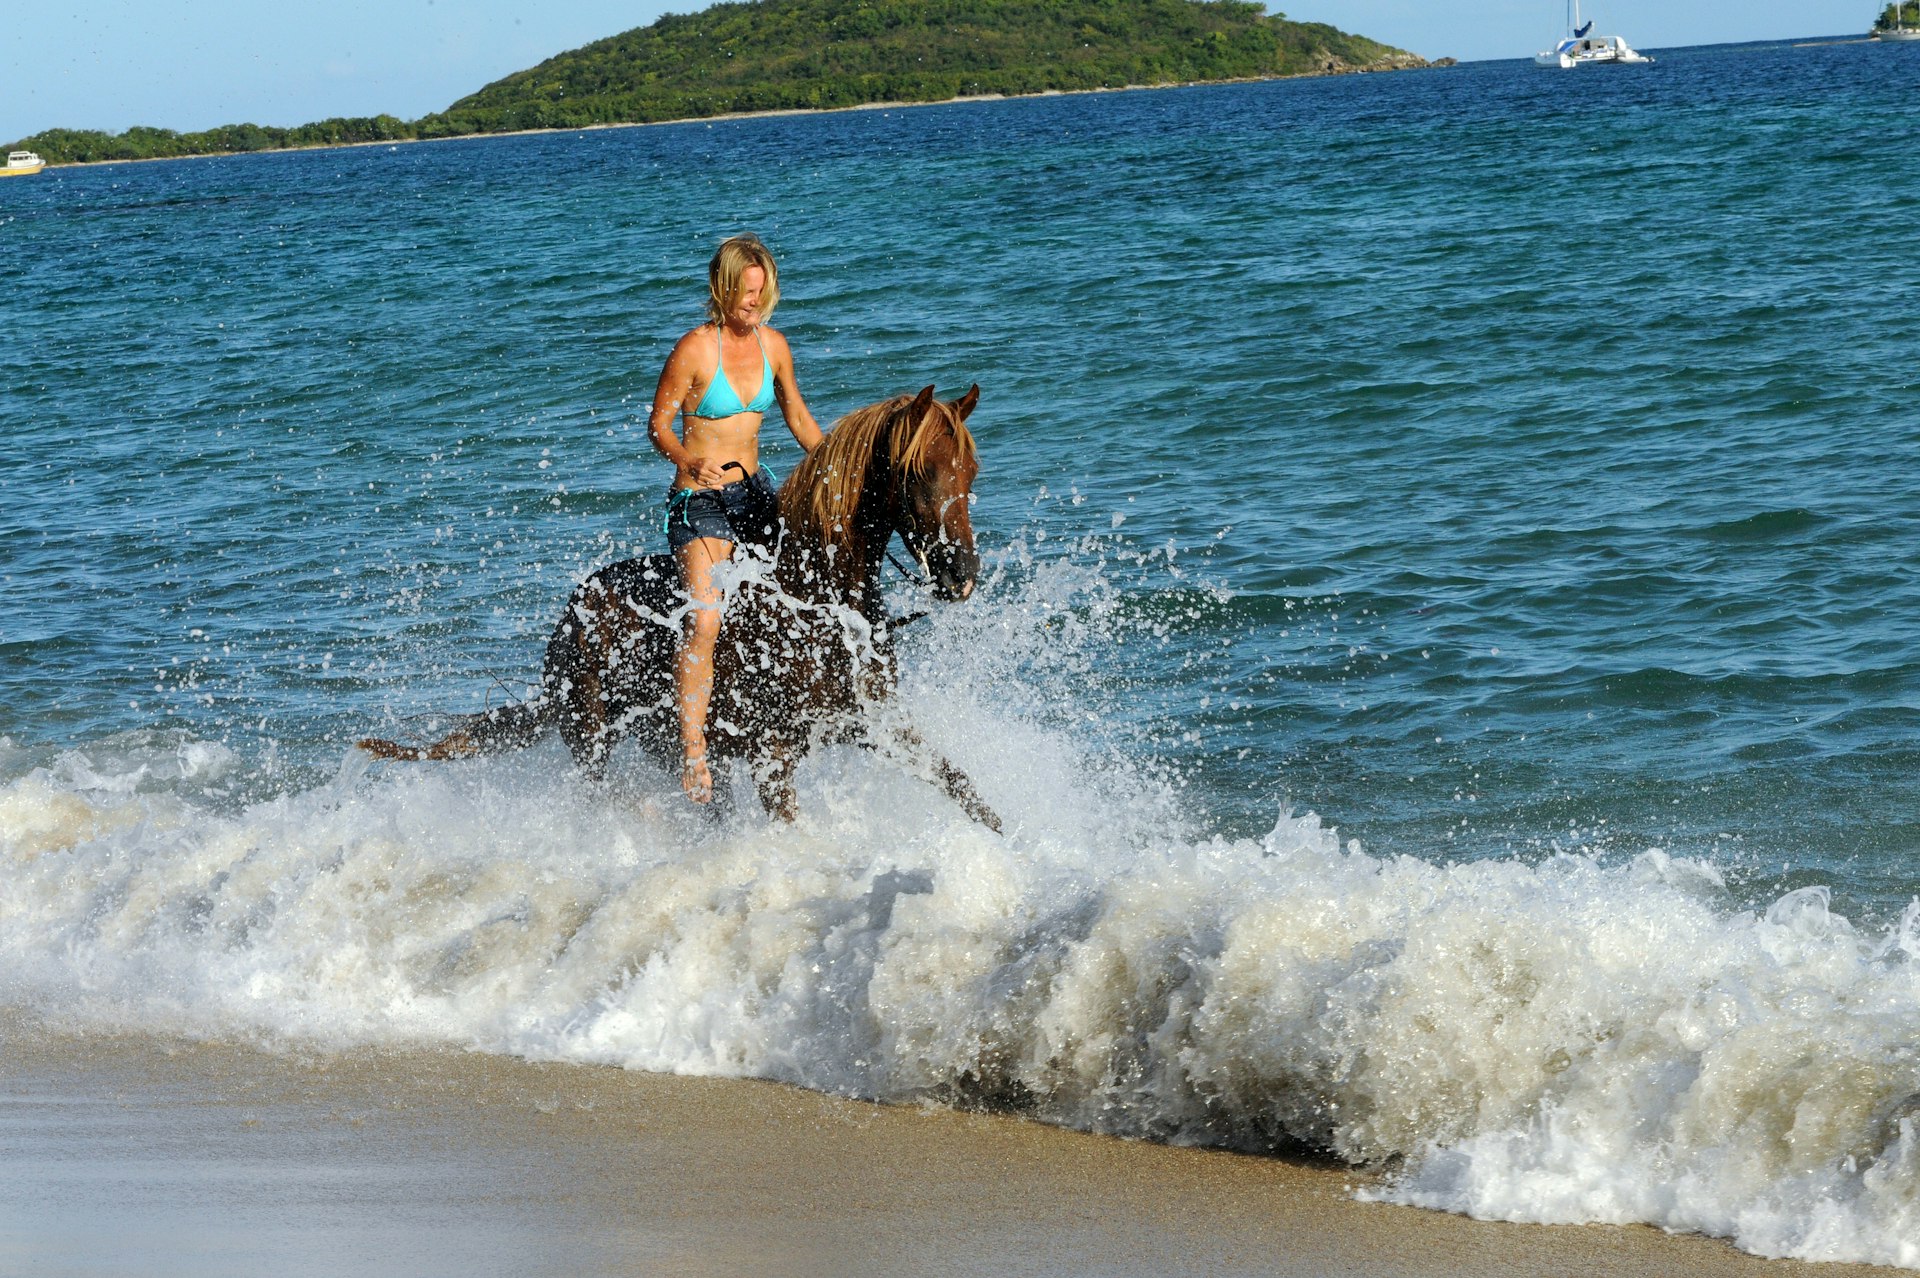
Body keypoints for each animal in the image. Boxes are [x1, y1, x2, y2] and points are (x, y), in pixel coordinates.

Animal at [357, 383, 1006, 832]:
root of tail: (569, 617)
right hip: (593, 742)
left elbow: (962, 787)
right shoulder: (772, 757)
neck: (811, 600)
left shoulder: (872, 725)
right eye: (920, 471)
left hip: (659, 743)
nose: (962, 577)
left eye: (971, 470)